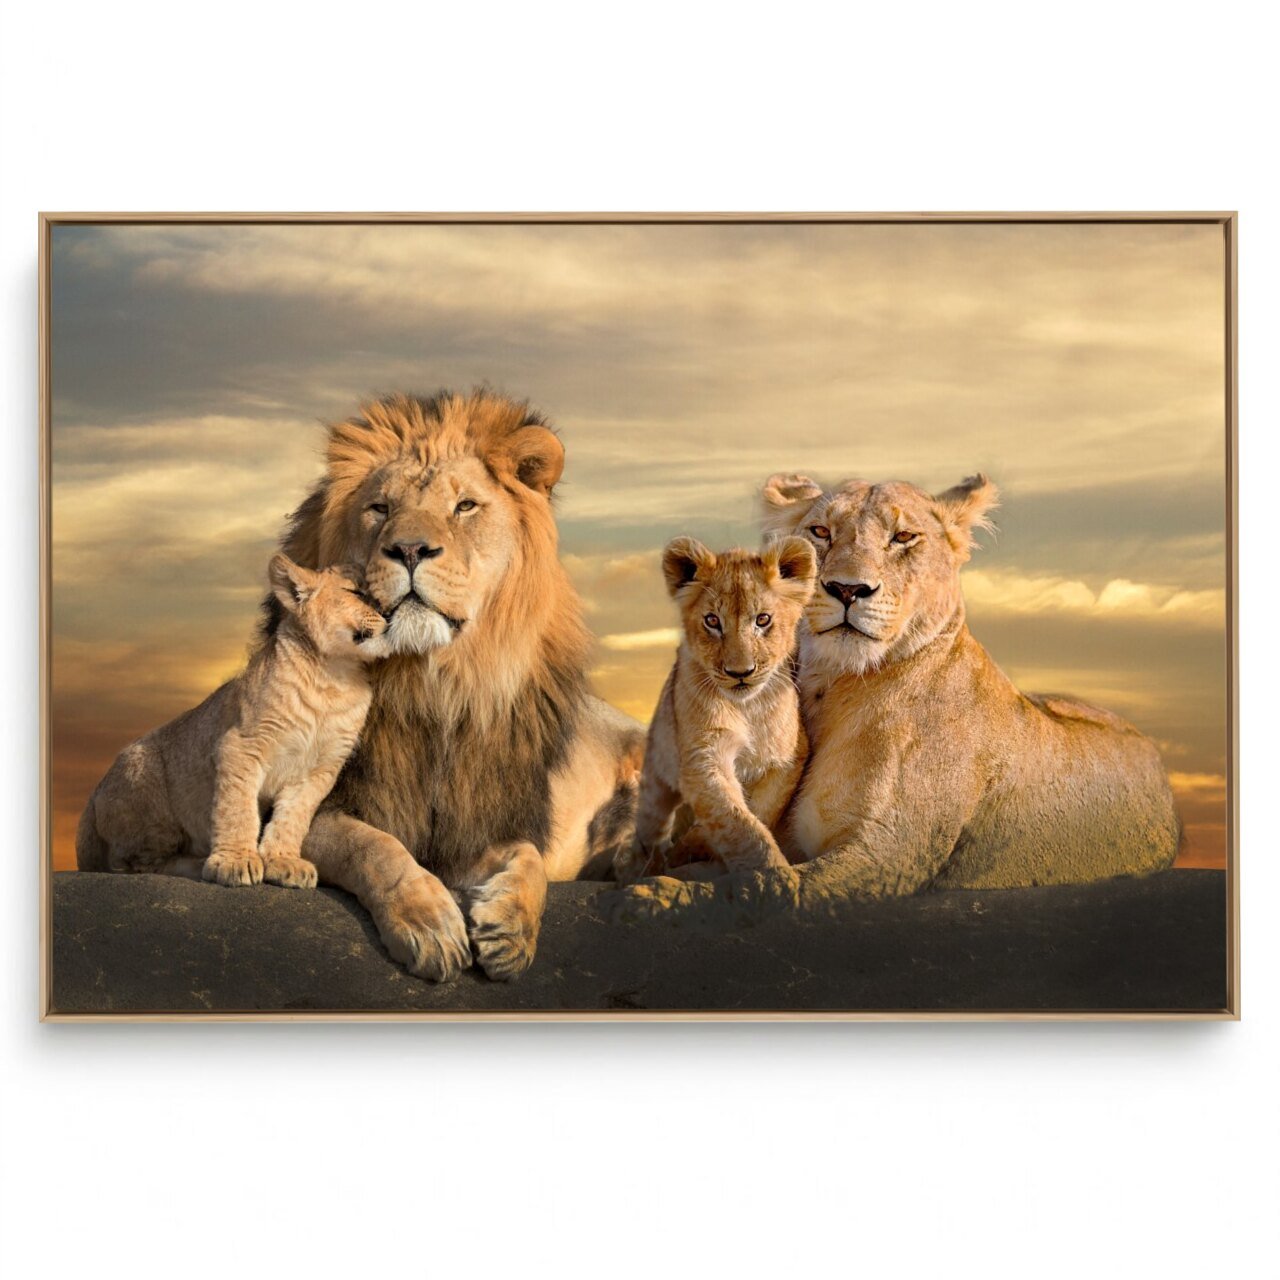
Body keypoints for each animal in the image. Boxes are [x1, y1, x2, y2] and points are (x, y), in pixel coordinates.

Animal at [77, 555, 389, 891]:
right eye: (356, 592)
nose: (389, 613)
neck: (334, 677)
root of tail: (92, 795)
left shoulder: (320, 770)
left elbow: (293, 818)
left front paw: (284, 861)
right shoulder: (241, 745)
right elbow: (237, 809)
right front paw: (235, 861)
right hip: (145, 786)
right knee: (136, 864)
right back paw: (198, 863)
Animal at [629, 536, 817, 877]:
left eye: (762, 620)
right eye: (712, 621)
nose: (740, 672)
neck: (747, 709)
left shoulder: (788, 757)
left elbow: (757, 811)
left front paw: (696, 845)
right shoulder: (702, 757)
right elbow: (737, 822)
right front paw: (774, 877)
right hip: (656, 778)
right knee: (650, 830)